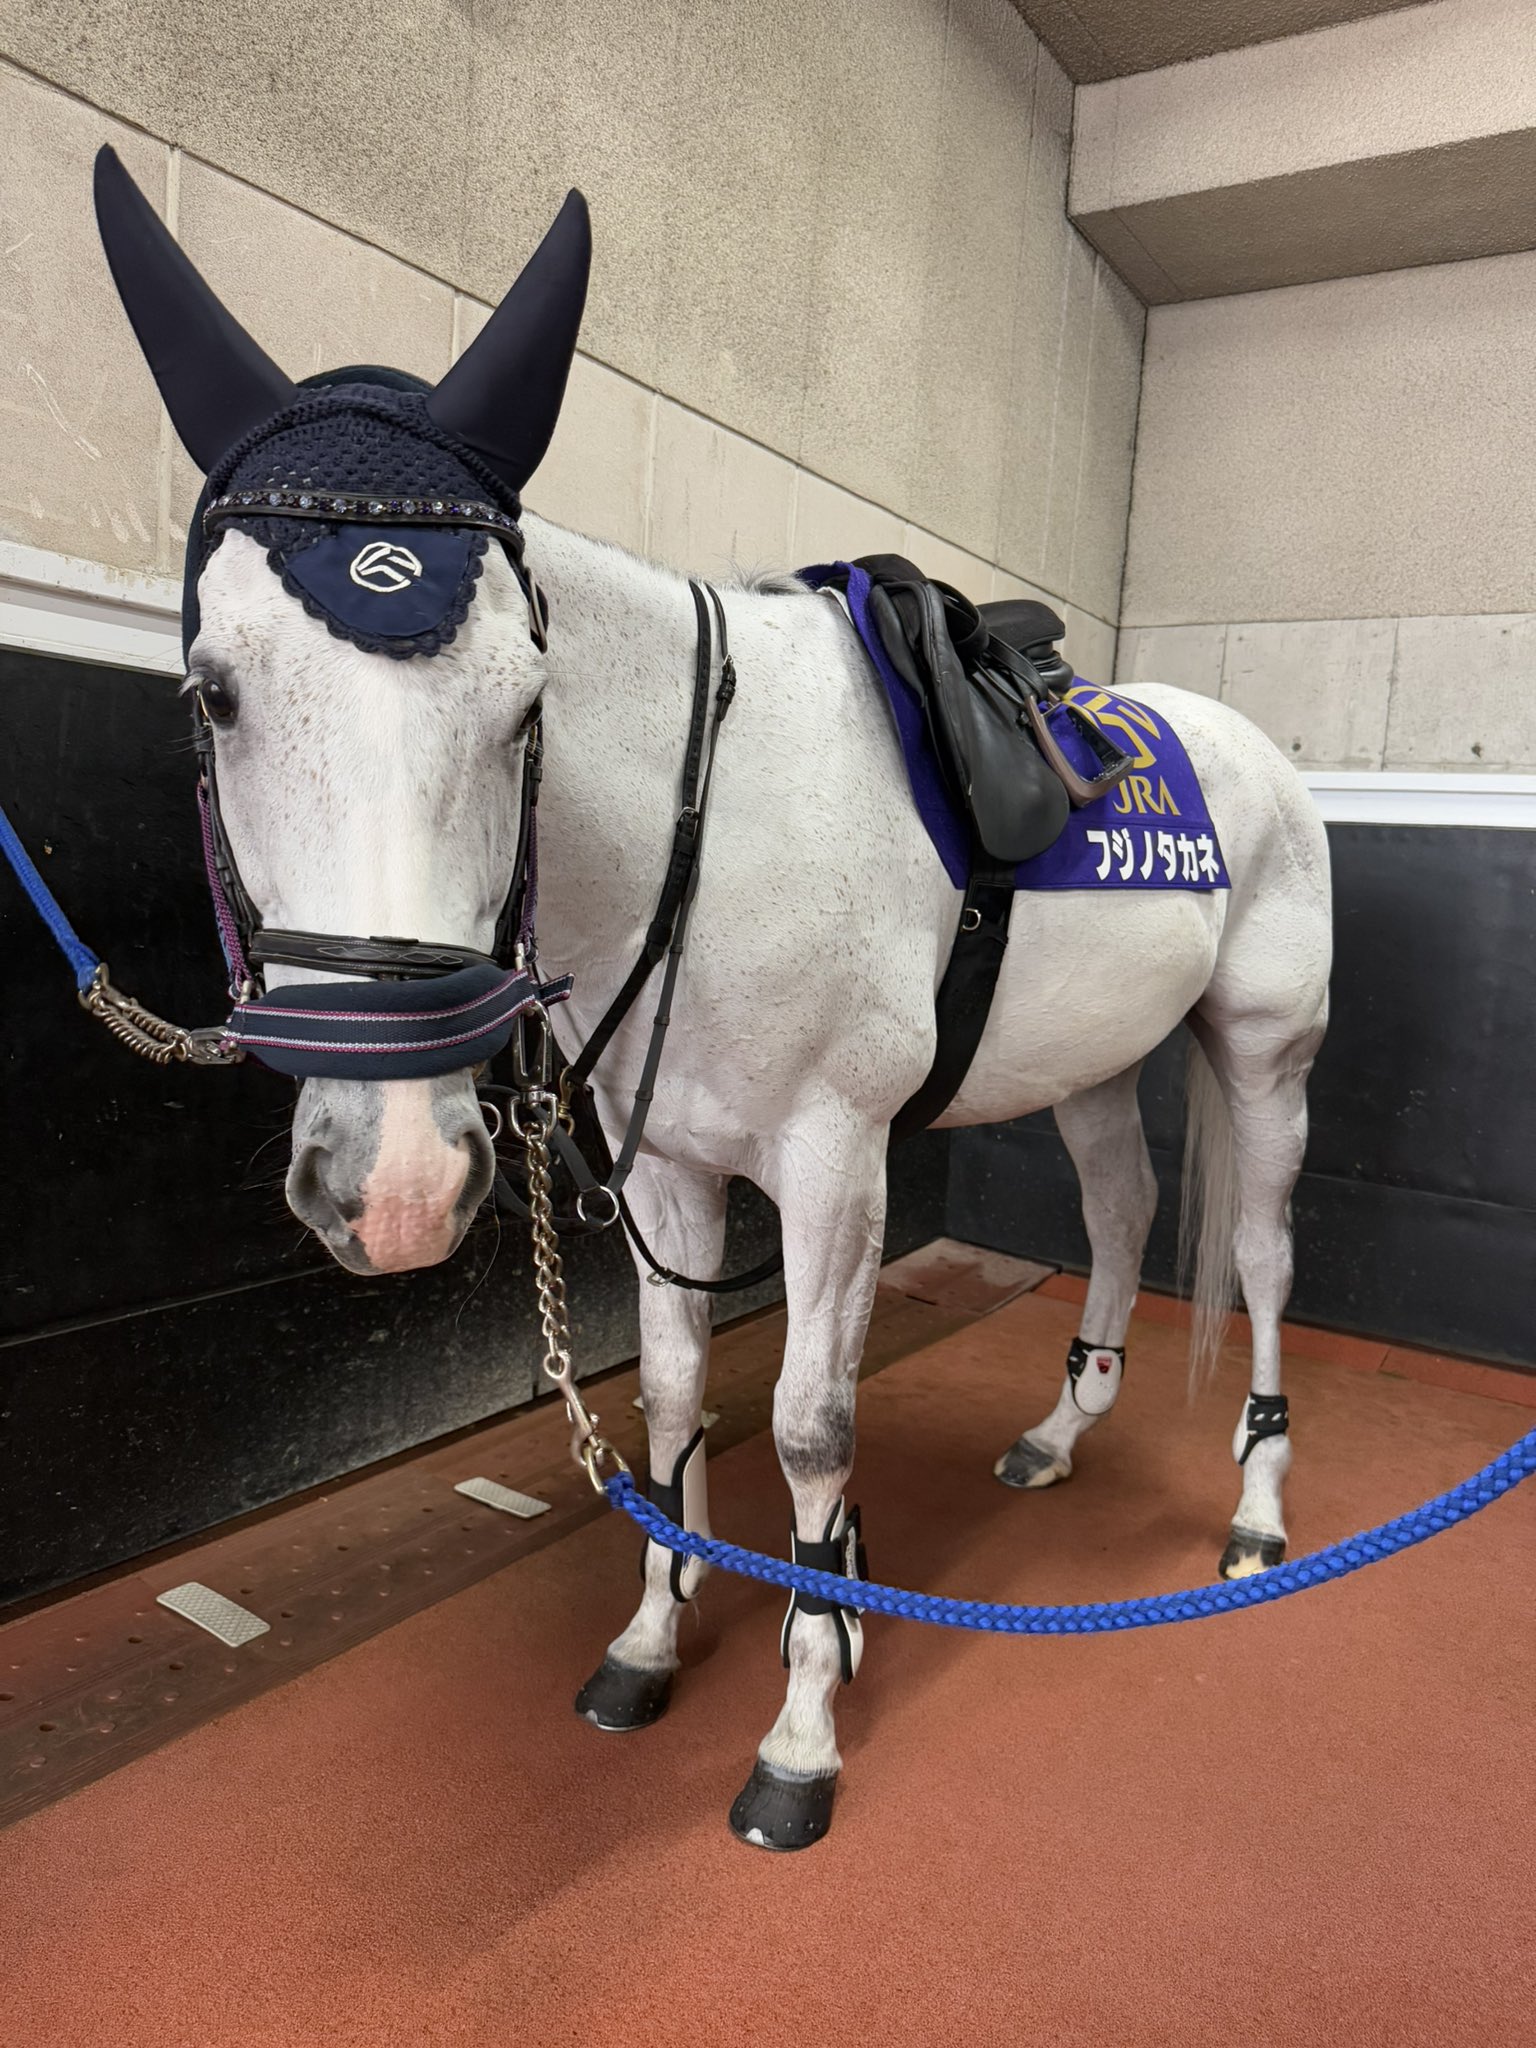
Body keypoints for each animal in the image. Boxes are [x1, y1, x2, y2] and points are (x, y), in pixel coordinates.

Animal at [92, 153, 1332, 1849]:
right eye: (211, 691)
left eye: (526, 708)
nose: (398, 1184)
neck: (711, 816)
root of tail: (1261, 753)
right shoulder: (671, 1164)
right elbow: (676, 1397)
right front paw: (654, 1636)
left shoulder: (834, 1168)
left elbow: (811, 1426)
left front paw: (806, 1719)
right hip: (1090, 1066)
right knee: (1128, 1217)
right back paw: (1063, 1432)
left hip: (1265, 1061)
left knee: (1262, 1257)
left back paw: (1259, 1512)